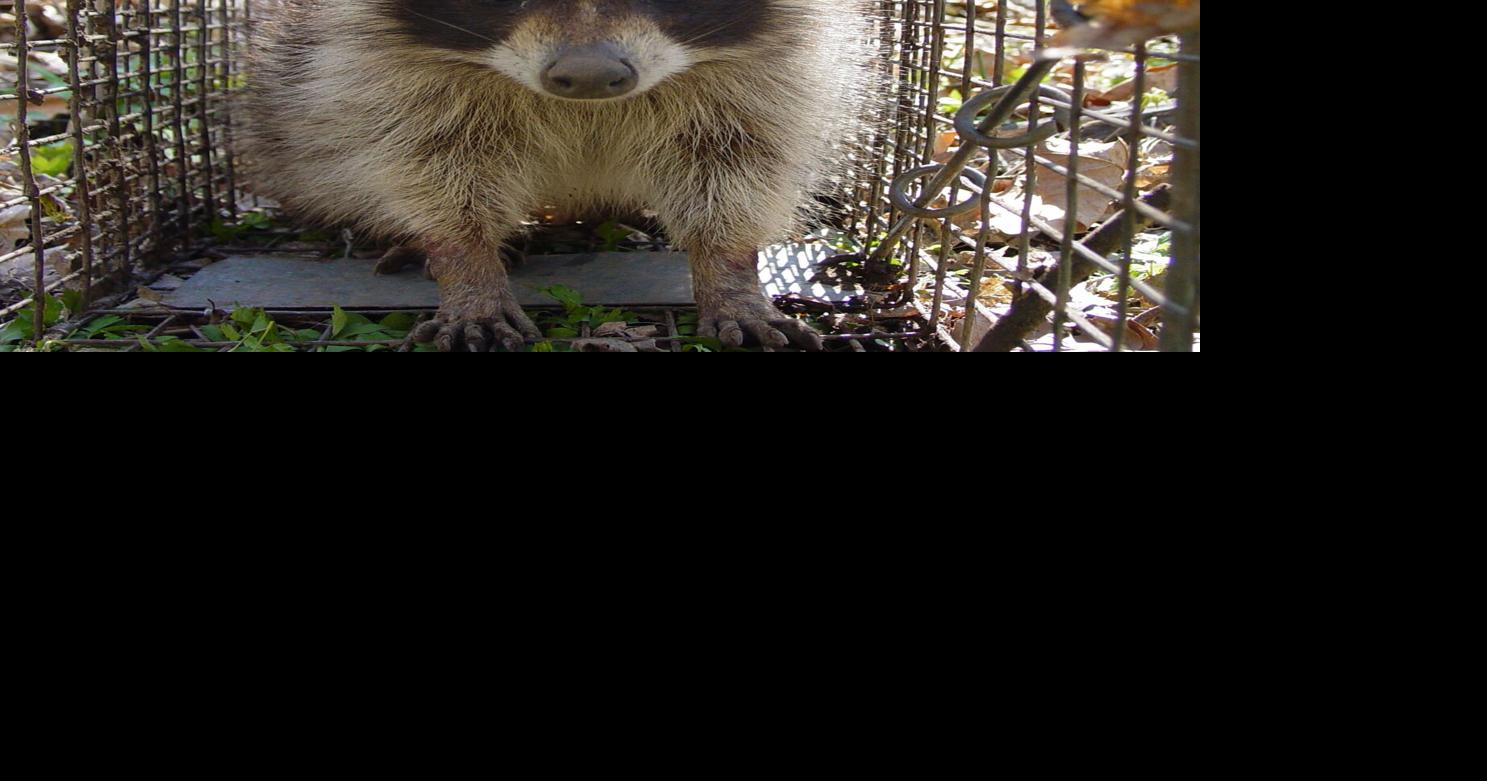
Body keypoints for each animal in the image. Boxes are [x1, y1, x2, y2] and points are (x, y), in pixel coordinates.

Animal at [241, 0, 876, 351]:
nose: (590, 74)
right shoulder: (383, 71)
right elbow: (424, 163)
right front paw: (467, 262)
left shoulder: (758, 76)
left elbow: (738, 162)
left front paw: (730, 270)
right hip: (286, 117)